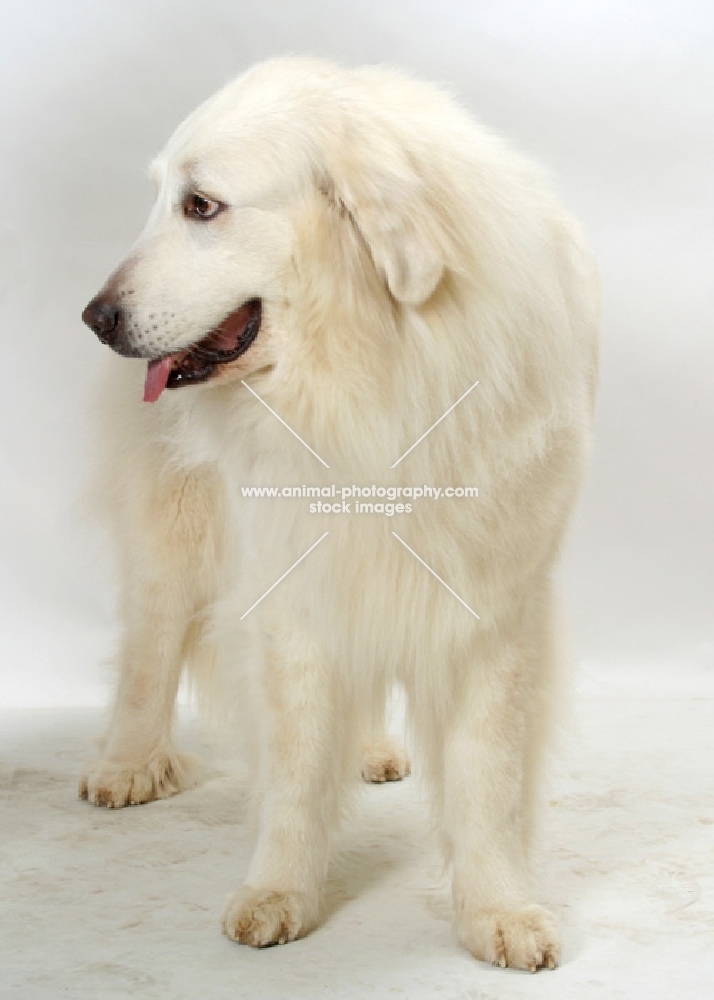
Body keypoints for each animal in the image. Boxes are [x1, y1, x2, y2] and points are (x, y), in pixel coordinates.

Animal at [80, 58, 596, 972]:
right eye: (162, 198)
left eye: (201, 205)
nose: (96, 317)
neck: (371, 378)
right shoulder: (293, 595)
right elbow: (294, 761)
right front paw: (278, 892)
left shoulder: (493, 607)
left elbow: (488, 775)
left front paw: (497, 910)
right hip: (173, 537)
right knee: (149, 646)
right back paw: (128, 765)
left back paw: (372, 752)